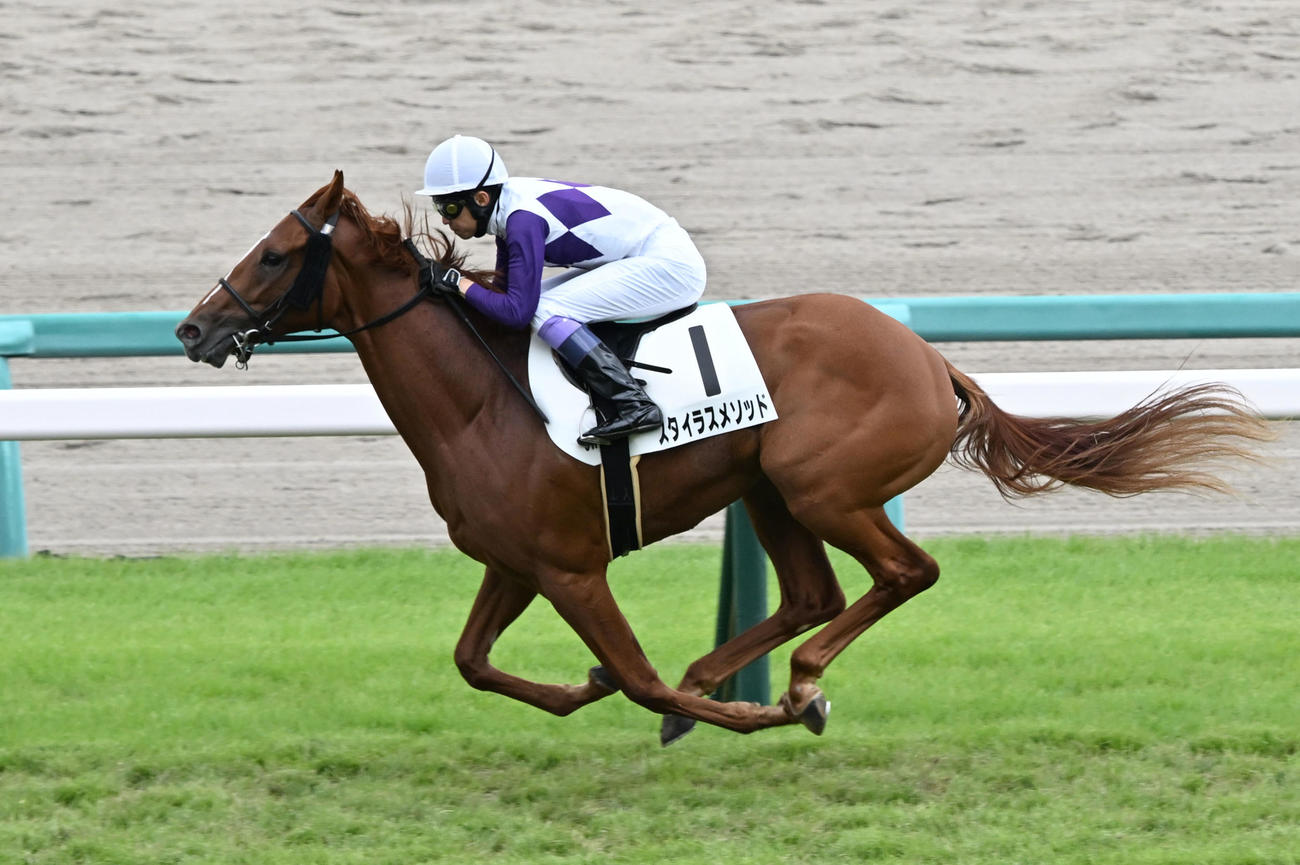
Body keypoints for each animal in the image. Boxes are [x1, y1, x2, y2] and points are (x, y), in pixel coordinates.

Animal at [176, 171, 1269, 744]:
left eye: (275, 254)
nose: (192, 327)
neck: (482, 401)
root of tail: (929, 356)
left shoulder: (573, 568)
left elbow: (639, 679)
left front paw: (728, 710)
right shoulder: (517, 561)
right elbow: (475, 661)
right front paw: (589, 690)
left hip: (826, 487)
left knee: (902, 573)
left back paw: (798, 683)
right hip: (771, 488)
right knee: (815, 593)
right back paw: (745, 669)